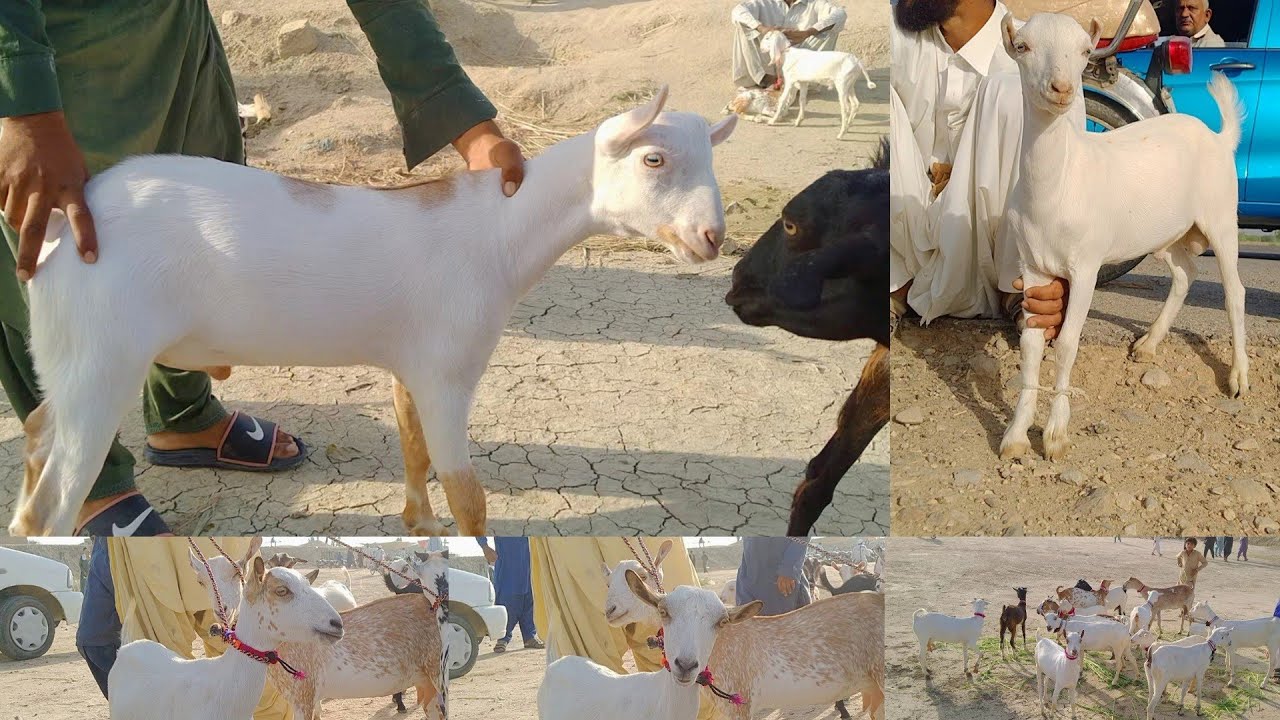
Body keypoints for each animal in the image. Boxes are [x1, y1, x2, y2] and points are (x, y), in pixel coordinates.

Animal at [996, 12, 1247, 463]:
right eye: (1022, 46)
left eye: (1084, 51)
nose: (1062, 88)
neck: (1059, 183)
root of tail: (1219, 138)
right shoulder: (1034, 266)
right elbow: (1030, 345)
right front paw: (1016, 435)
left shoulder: (1086, 266)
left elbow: (1066, 344)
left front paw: (1056, 435)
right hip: (1168, 232)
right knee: (1184, 272)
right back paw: (1149, 343)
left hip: (1221, 217)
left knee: (1234, 291)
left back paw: (1238, 376)